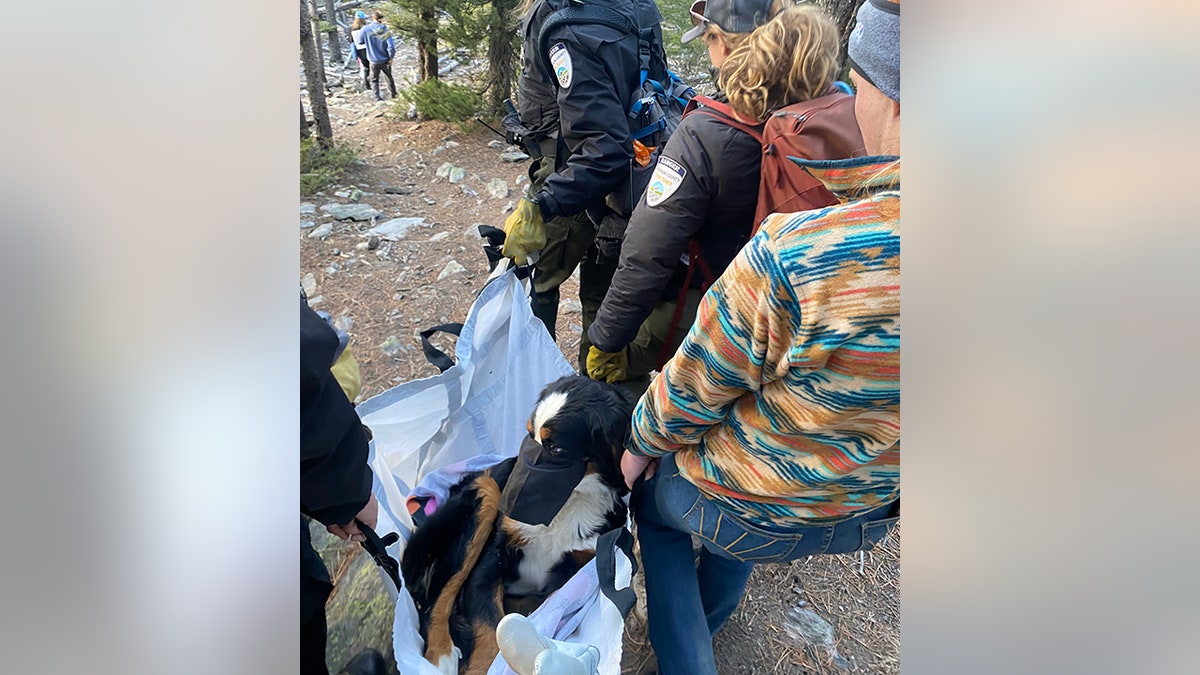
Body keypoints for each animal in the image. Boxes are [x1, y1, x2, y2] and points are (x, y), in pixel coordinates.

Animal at [398, 374, 633, 667]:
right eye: (529, 435)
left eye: (555, 447)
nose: (513, 495)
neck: (565, 504)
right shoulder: (491, 560)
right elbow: (491, 633)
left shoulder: (578, 565)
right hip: (486, 491)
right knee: (435, 601)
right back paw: (440, 655)